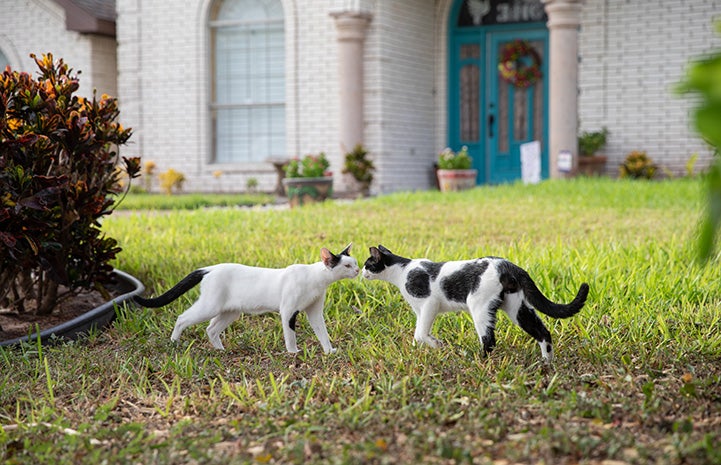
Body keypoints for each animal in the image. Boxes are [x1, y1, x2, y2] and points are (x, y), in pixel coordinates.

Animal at [134, 245, 358, 350]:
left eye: (355, 262)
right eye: (347, 265)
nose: (357, 270)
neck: (315, 278)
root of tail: (210, 268)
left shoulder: (315, 312)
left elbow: (322, 333)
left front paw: (329, 351)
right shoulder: (288, 311)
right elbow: (290, 335)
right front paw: (293, 353)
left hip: (229, 312)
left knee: (211, 329)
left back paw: (220, 350)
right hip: (209, 307)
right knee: (182, 318)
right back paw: (174, 342)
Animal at [362, 245, 588, 360]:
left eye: (367, 264)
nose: (361, 272)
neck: (402, 272)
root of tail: (506, 264)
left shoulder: (429, 304)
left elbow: (420, 333)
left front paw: (437, 345)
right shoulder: (420, 311)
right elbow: (419, 333)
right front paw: (422, 349)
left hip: (479, 306)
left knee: (489, 340)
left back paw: (480, 361)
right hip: (517, 306)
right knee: (543, 332)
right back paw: (547, 363)